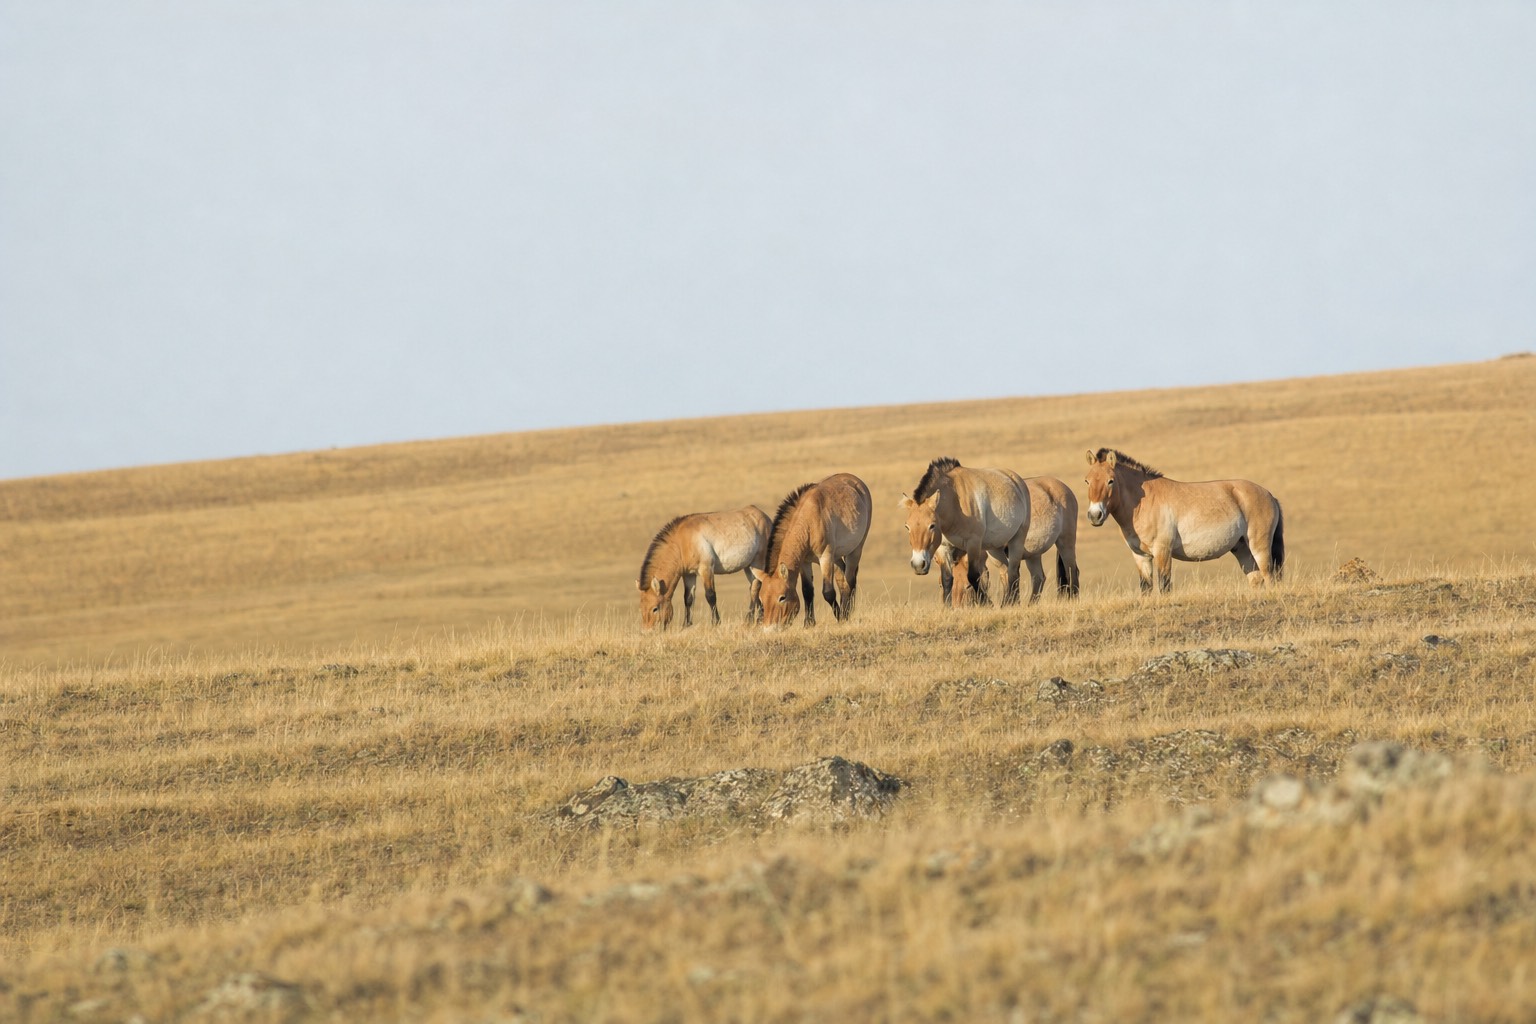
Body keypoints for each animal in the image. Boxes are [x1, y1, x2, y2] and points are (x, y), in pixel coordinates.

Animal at [636, 505, 772, 629]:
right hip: (748, 566)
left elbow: (710, 596)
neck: (682, 543)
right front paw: (686, 625)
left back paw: (749, 619)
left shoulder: (706, 569)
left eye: (655, 608)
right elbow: (688, 598)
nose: (648, 632)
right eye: (641, 608)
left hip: (757, 562)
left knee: (755, 587)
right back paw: (760, 617)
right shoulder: (689, 574)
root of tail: (765, 517)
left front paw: (715, 623)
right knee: (755, 586)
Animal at [749, 473, 872, 628]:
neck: (808, 522)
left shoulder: (825, 557)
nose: (769, 628)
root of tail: (855, 480)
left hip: (855, 550)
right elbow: (807, 591)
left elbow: (828, 592)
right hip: (836, 557)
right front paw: (809, 623)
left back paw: (845, 613)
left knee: (849, 580)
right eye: (762, 598)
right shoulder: (804, 562)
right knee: (843, 581)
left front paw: (839, 617)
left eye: (782, 597)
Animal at [898, 457, 1033, 606]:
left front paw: (985, 603)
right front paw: (947, 607)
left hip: (1017, 539)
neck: (955, 503)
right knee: (1006, 571)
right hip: (995, 548)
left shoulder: (973, 544)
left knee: (1013, 572)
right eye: (907, 527)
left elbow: (973, 576)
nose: (918, 565)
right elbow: (947, 579)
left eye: (932, 526)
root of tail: (1017, 480)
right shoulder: (943, 548)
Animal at [931, 476, 1080, 607]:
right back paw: (1030, 605)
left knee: (1071, 571)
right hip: (1033, 555)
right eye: (939, 584)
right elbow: (1007, 575)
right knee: (1038, 577)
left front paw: (1006, 604)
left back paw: (1074, 599)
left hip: (1065, 542)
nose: (957, 607)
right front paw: (1011, 603)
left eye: (968, 586)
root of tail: (1063, 487)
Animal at [1083, 448, 1285, 592]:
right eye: (1087, 481)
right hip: (1242, 549)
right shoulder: (1140, 556)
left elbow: (1164, 586)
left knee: (1269, 577)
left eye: (1110, 481)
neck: (1144, 503)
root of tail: (1270, 496)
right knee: (1257, 580)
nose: (1095, 515)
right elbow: (1146, 588)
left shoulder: (1163, 552)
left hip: (1259, 547)